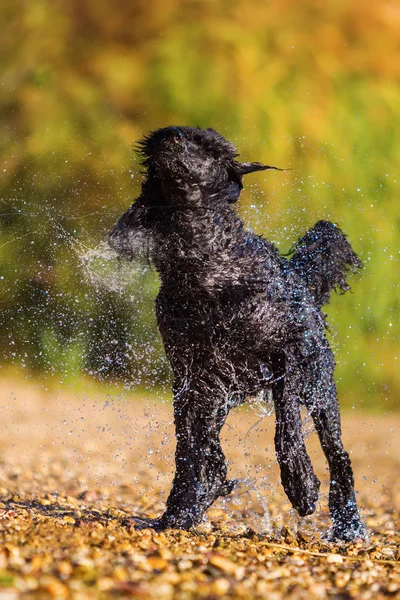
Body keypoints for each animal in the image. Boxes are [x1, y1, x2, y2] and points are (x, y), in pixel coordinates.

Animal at [108, 124, 364, 540]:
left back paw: (348, 524)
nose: (169, 135)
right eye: (162, 138)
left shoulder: (287, 355)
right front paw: (186, 503)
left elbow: (286, 425)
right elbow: (194, 447)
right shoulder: (195, 376)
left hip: (320, 387)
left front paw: (301, 483)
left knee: (338, 456)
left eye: (210, 147)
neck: (207, 268)